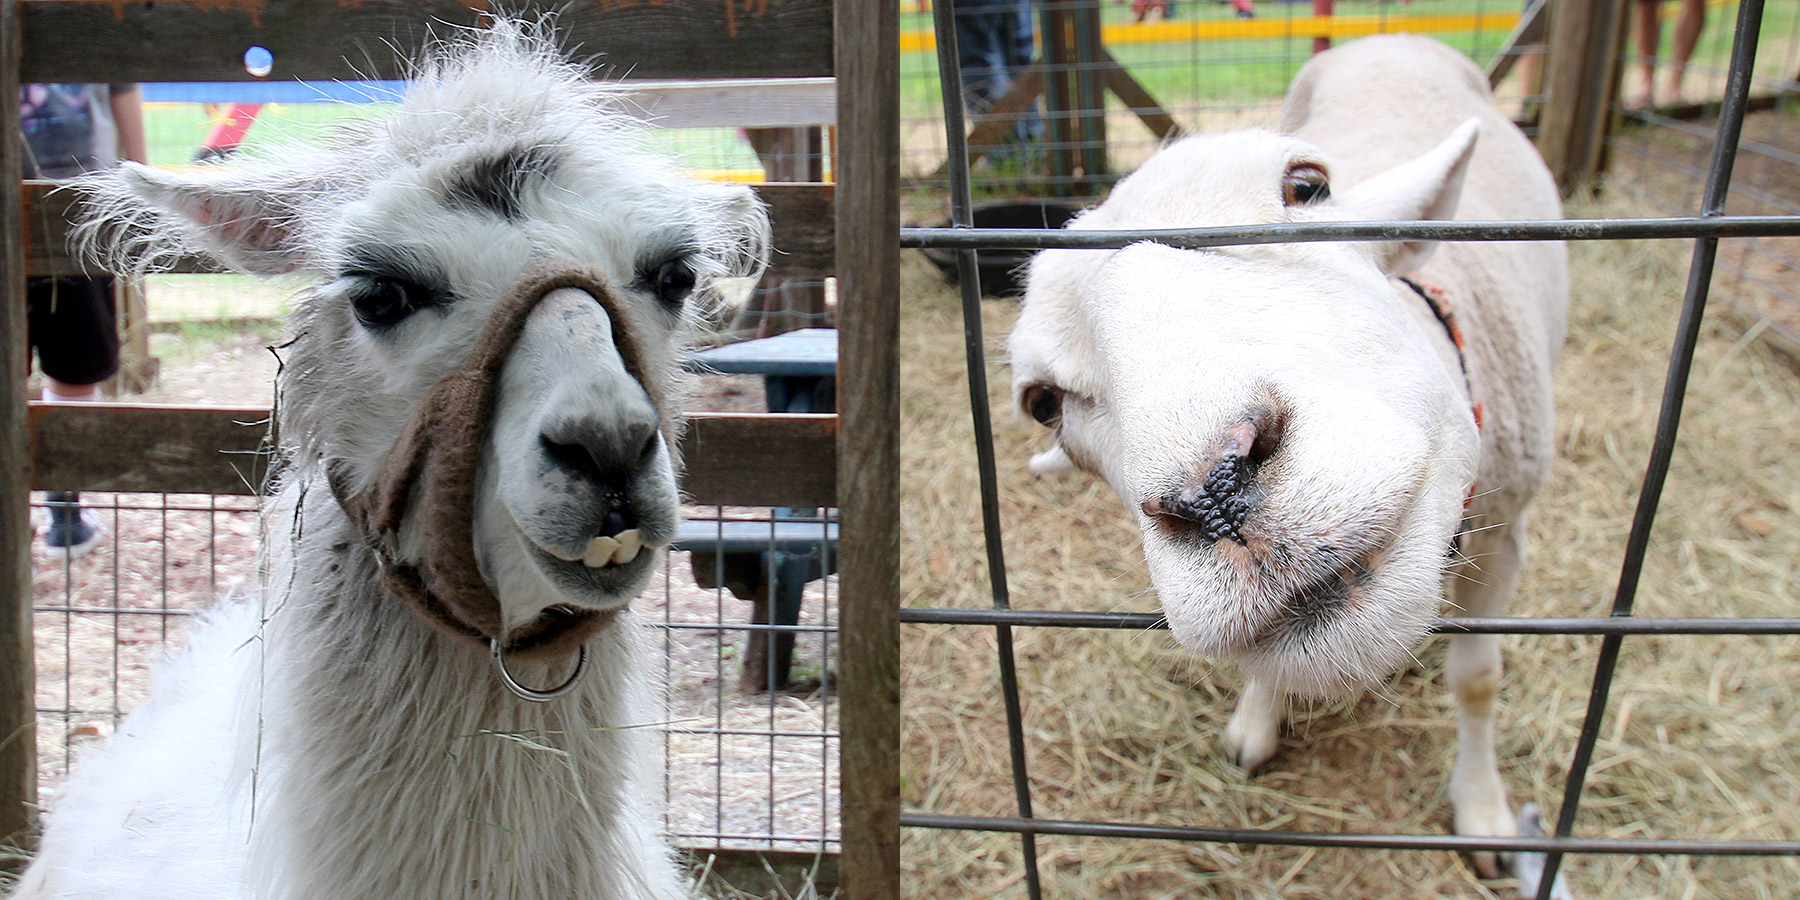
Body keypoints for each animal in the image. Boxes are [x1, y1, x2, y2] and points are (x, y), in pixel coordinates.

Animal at [1008, 33, 1569, 885]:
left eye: (1306, 187)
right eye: (1044, 402)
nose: (1216, 493)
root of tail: (1391, 38)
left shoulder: (1507, 529)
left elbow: (1478, 680)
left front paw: (1483, 811)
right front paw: (1256, 723)